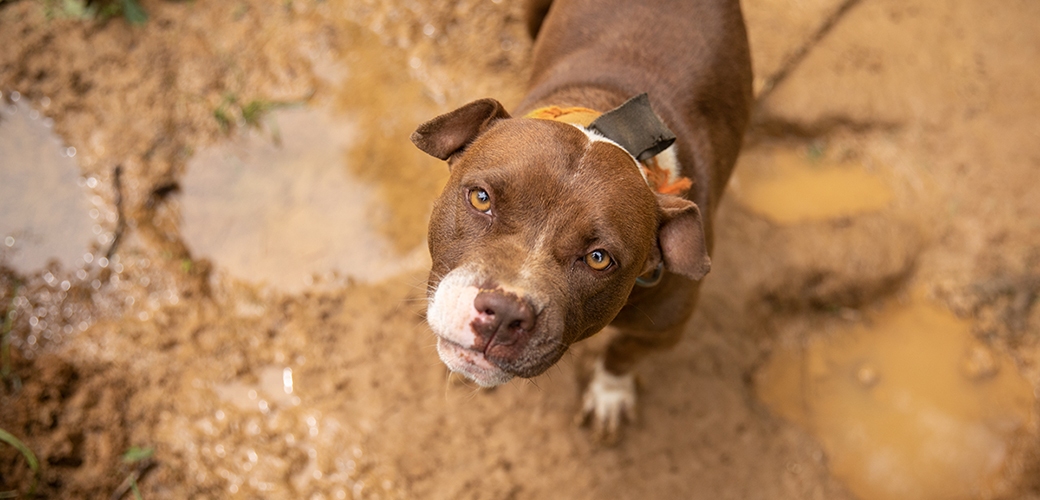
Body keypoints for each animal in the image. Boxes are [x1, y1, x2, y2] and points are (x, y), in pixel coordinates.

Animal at [409, 0, 752, 438]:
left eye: (599, 258)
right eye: (481, 199)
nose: (503, 312)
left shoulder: (666, 328)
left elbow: (622, 353)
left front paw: (609, 396)